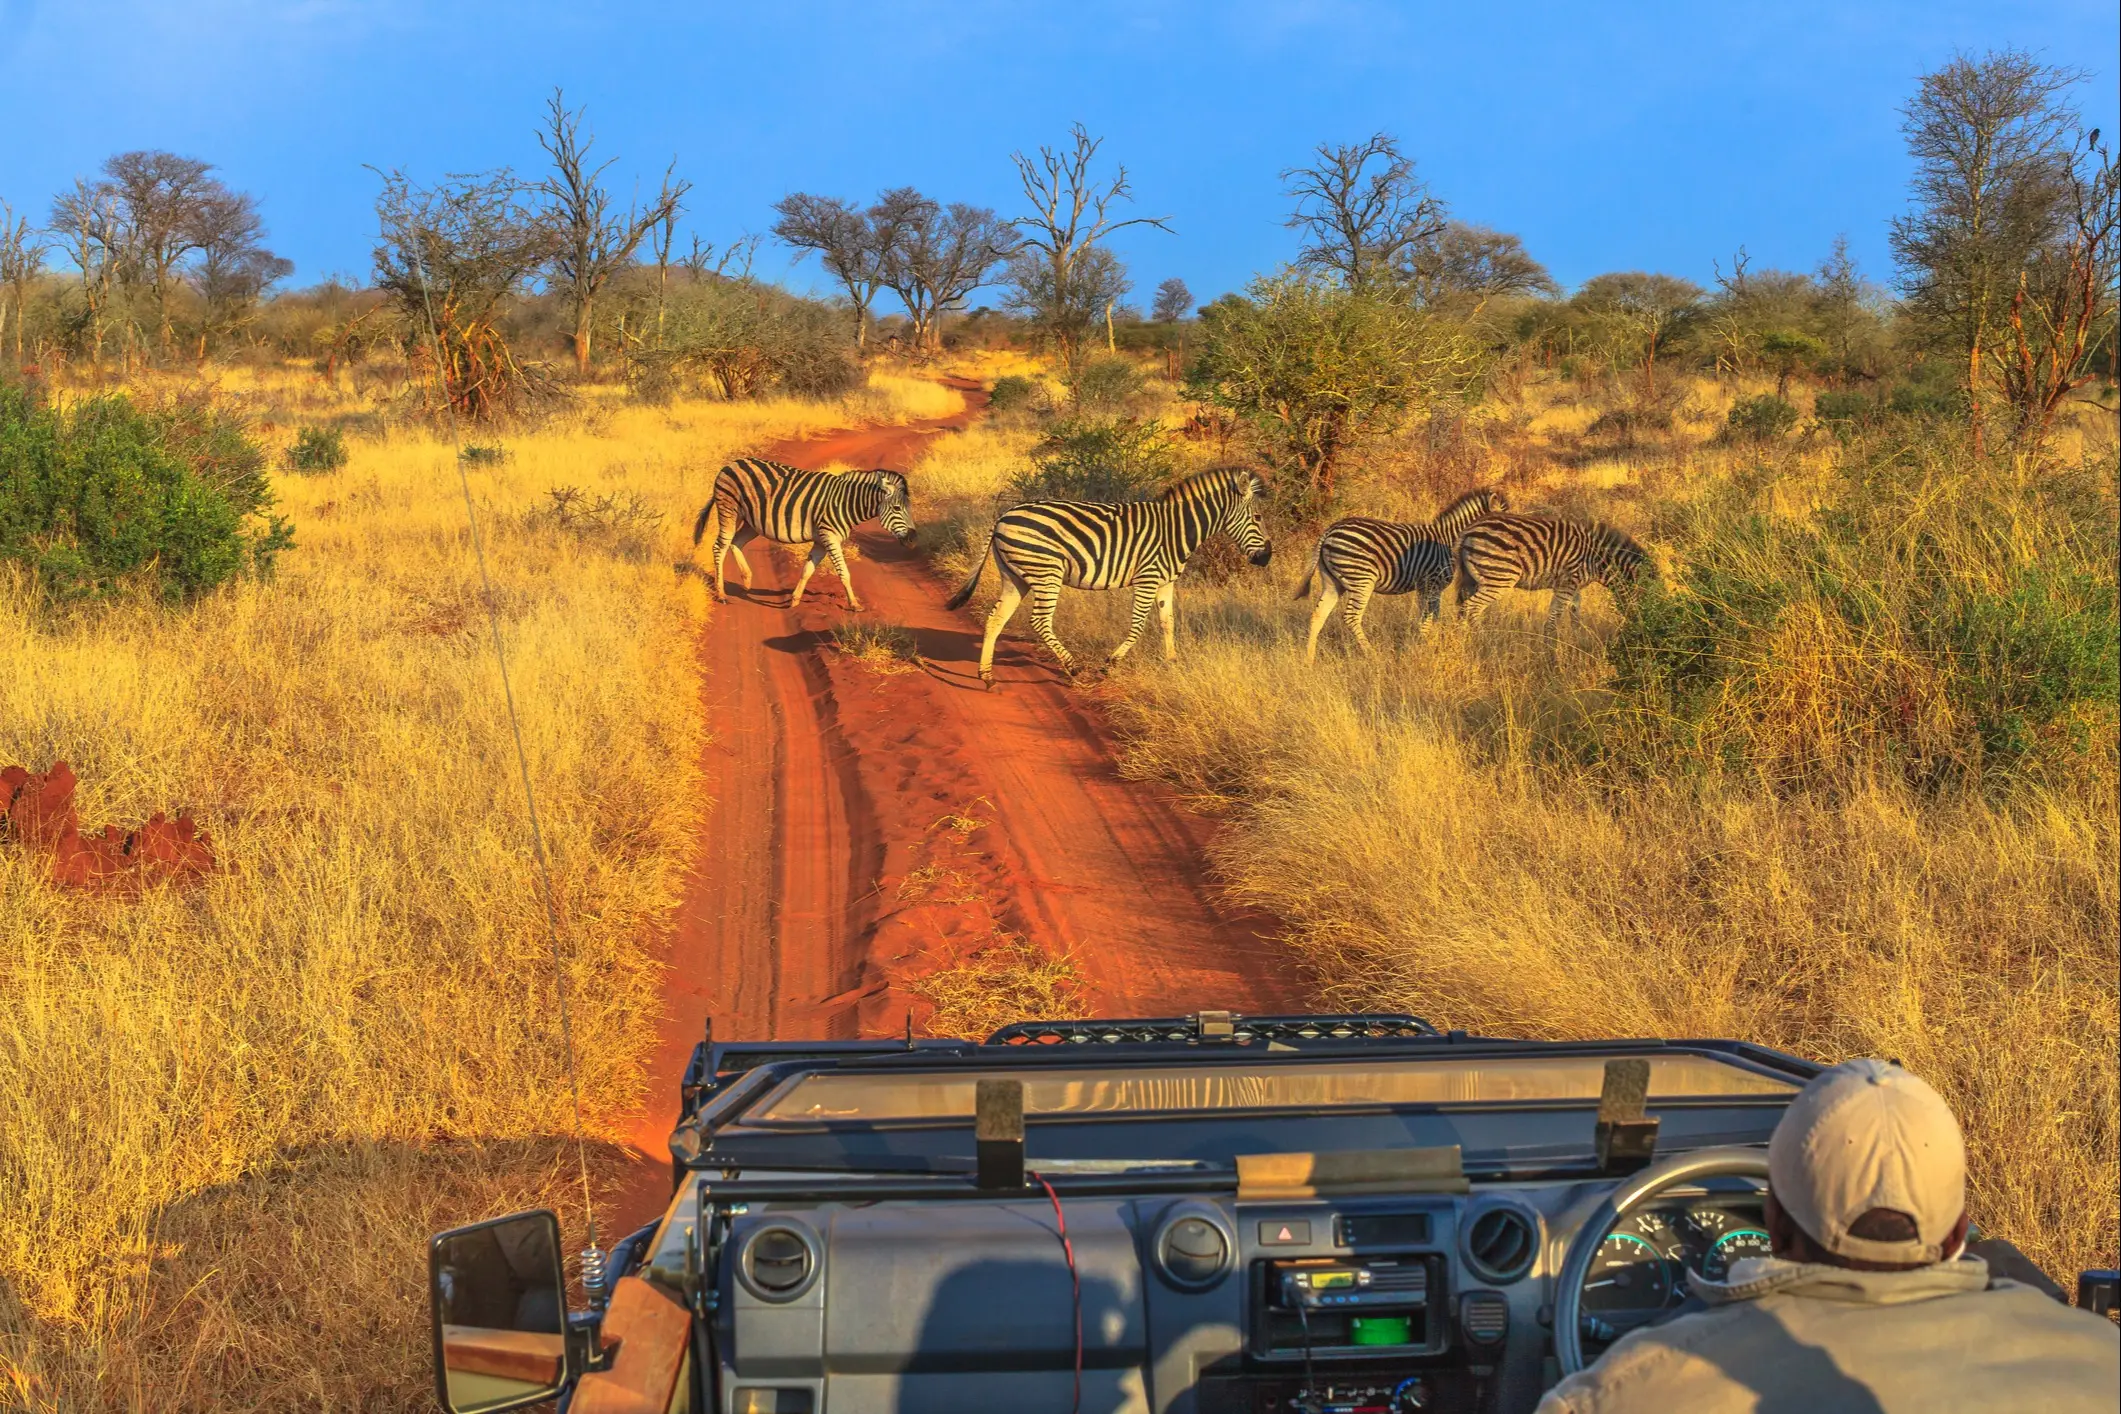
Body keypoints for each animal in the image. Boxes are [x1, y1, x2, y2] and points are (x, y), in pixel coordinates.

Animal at [689, 457, 916, 612]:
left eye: (908, 508)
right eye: (897, 508)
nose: (913, 541)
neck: (846, 502)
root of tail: (732, 463)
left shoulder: (821, 541)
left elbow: (808, 570)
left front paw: (794, 600)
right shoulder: (829, 536)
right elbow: (844, 572)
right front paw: (854, 604)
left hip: (751, 522)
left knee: (736, 542)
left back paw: (746, 580)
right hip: (729, 510)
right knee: (720, 547)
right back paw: (721, 594)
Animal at [943, 466, 1273, 686]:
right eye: (1258, 518)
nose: (1267, 557)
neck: (1176, 530)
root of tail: (1003, 516)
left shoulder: (1166, 581)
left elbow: (1168, 622)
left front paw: (1173, 663)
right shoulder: (1148, 578)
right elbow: (1138, 626)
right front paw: (1109, 665)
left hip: (1016, 576)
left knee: (996, 618)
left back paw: (986, 676)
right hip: (1046, 572)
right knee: (1039, 621)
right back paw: (1074, 668)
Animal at [1295, 487, 1510, 663]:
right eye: (1506, 525)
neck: (1449, 540)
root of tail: (1330, 530)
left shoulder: (1425, 587)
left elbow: (1428, 618)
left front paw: (1428, 644)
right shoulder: (1432, 583)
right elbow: (1429, 618)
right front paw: (1427, 647)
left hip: (1332, 581)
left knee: (1318, 614)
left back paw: (1309, 659)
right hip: (1362, 579)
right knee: (1351, 617)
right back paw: (1372, 654)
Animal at [1453, 514, 1649, 654]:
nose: (1641, 637)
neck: (1597, 558)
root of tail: (1468, 531)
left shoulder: (1574, 586)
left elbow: (1575, 614)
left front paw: (1577, 643)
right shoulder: (1567, 583)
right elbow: (1554, 618)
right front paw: (1550, 652)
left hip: (1472, 579)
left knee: (1462, 609)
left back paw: (1462, 642)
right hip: (1500, 577)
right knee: (1472, 607)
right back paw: (1485, 644)